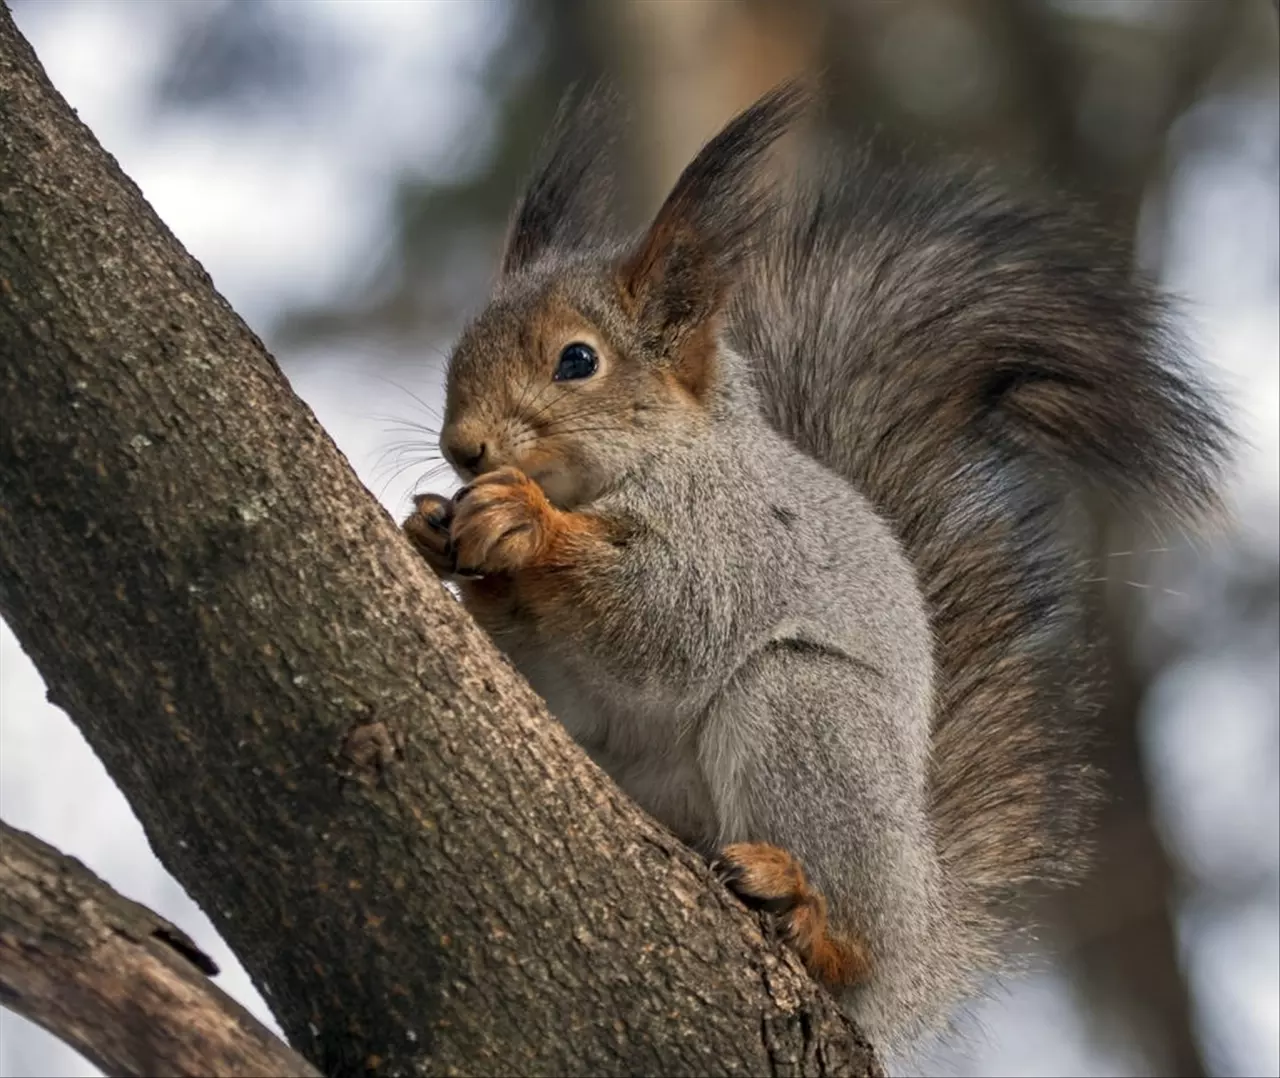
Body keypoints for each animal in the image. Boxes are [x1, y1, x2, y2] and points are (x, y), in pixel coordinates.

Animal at [399, 81, 1228, 1049]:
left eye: (578, 360)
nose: (463, 449)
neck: (647, 464)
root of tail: (919, 939)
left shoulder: (740, 544)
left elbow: (666, 624)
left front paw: (524, 523)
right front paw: (436, 531)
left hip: (809, 718)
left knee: (847, 932)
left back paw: (809, 915)